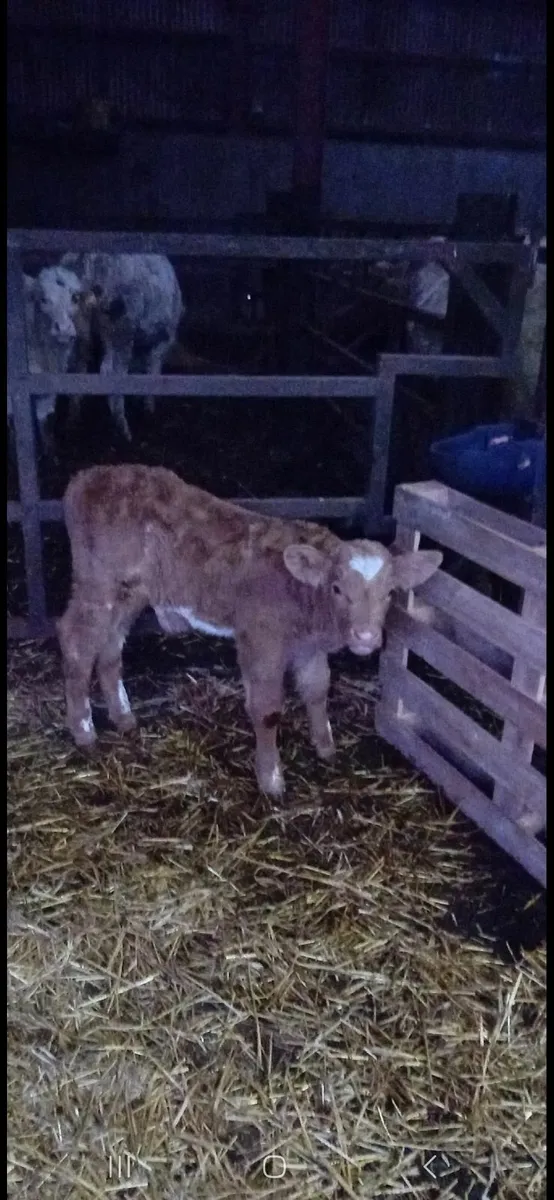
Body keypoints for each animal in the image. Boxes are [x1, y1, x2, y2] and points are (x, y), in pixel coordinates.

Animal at [57, 465, 443, 797]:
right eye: (336, 588)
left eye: (390, 592)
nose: (365, 637)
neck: (304, 598)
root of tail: (88, 476)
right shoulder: (261, 640)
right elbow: (268, 710)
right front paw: (271, 780)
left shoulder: (309, 647)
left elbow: (318, 690)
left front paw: (326, 748)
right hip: (97, 585)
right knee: (76, 641)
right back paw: (84, 731)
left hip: (131, 591)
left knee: (110, 646)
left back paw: (123, 717)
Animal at [60, 253, 184, 442]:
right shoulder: (163, 339)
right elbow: (153, 370)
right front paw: (149, 409)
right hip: (122, 329)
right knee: (112, 372)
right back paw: (123, 430)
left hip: (78, 331)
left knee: (77, 369)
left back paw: (72, 421)